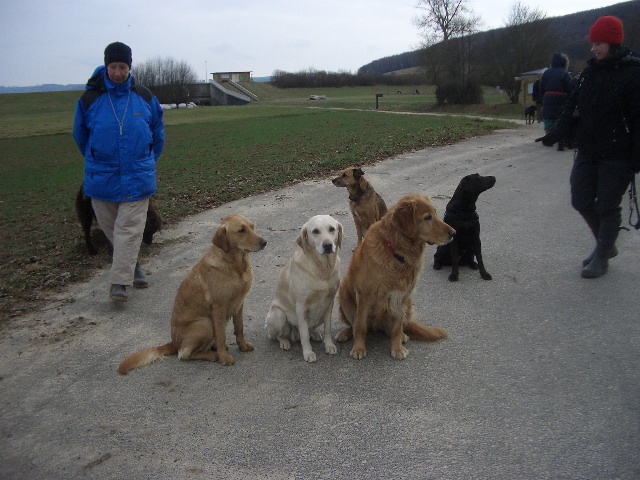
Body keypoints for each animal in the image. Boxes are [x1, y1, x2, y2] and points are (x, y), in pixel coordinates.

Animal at [119, 215, 266, 376]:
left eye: (252, 227)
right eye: (241, 230)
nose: (264, 242)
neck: (236, 265)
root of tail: (174, 342)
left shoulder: (239, 303)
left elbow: (239, 328)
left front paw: (242, 345)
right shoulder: (219, 308)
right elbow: (221, 336)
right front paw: (224, 358)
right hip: (205, 324)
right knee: (184, 354)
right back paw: (213, 355)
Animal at [264, 216, 342, 362]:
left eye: (332, 229)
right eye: (315, 231)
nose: (328, 245)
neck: (322, 269)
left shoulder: (329, 303)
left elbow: (327, 329)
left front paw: (329, 345)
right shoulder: (301, 306)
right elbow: (304, 334)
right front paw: (308, 353)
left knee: (308, 329)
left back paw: (314, 334)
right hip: (278, 315)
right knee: (278, 335)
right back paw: (284, 342)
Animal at [336, 195, 456, 360]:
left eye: (436, 214)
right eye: (427, 217)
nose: (454, 233)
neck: (397, 253)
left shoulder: (402, 295)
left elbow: (397, 327)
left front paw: (397, 347)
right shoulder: (365, 295)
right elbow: (360, 326)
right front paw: (358, 348)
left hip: (409, 304)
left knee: (397, 327)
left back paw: (403, 336)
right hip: (344, 292)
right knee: (354, 324)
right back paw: (346, 333)